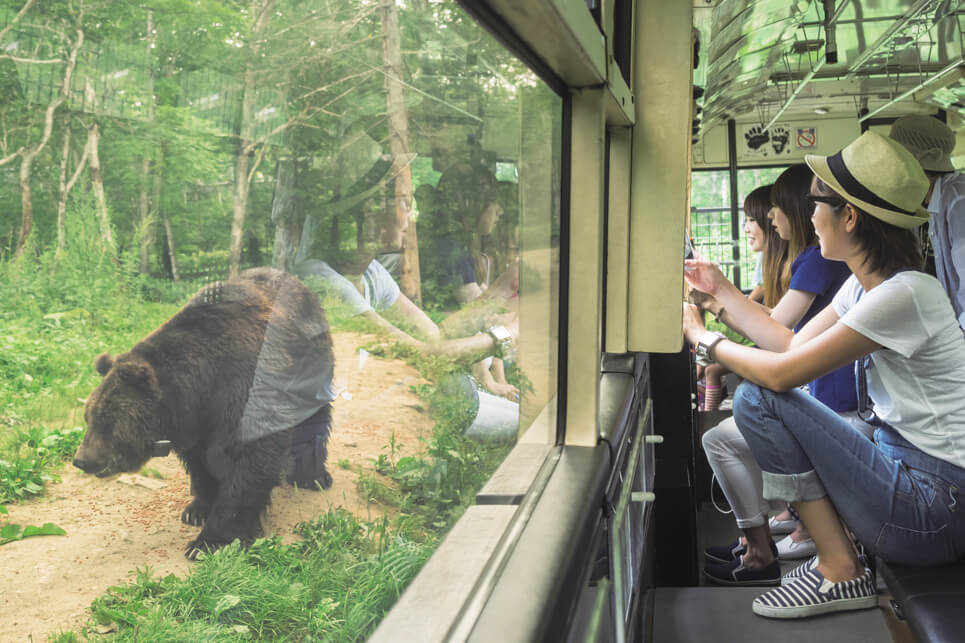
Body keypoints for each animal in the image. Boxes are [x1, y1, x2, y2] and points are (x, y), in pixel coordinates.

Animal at [73, 266, 336, 560]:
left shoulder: (244, 389)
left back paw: (314, 476)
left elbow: (248, 461)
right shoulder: (194, 421)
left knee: (315, 420)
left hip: (310, 365)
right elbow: (200, 463)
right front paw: (197, 510)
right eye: (88, 417)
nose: (81, 460)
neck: (202, 383)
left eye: (108, 419)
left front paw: (209, 541)